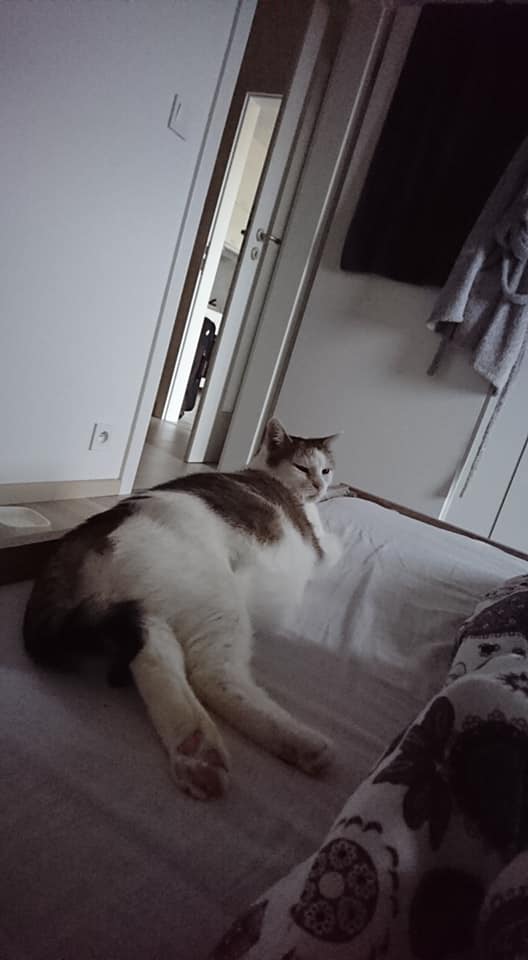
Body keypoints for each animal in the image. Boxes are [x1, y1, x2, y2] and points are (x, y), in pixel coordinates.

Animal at [23, 418, 341, 800]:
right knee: (211, 675)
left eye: (326, 469)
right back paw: (301, 743)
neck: (271, 477)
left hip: (149, 609)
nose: (321, 484)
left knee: (156, 658)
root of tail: (87, 529)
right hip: (216, 599)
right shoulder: (323, 550)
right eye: (303, 468)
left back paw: (197, 752)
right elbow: (337, 544)